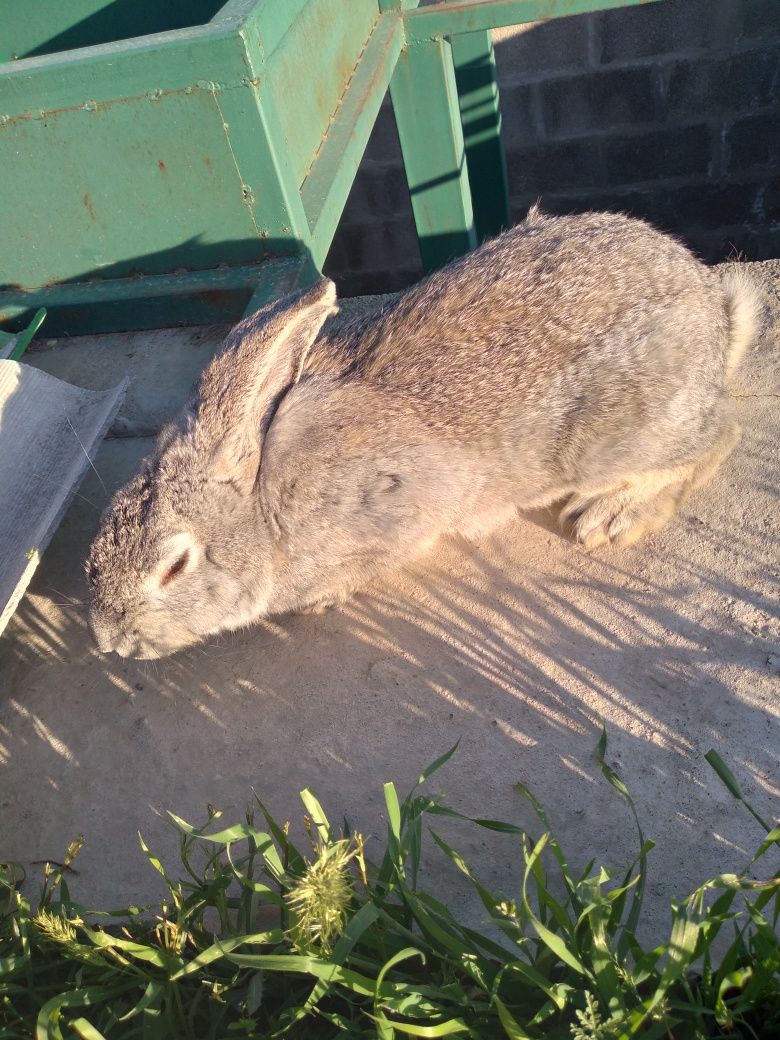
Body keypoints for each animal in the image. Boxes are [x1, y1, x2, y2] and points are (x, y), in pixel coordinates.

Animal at [86, 205, 765, 653]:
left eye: (174, 567)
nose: (108, 640)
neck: (262, 508)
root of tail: (716, 315)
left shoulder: (402, 508)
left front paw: (323, 599)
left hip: (622, 433)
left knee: (719, 437)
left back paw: (611, 517)